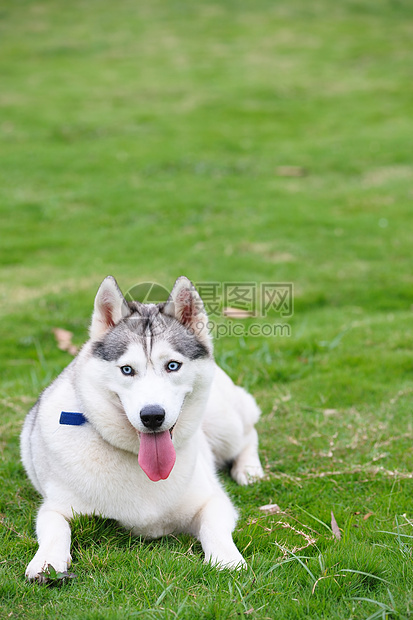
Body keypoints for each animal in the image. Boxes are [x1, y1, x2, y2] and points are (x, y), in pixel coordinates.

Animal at [20, 274, 262, 580]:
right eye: (127, 370)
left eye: (173, 366)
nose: (152, 416)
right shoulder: (56, 508)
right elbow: (56, 528)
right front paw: (47, 560)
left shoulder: (213, 501)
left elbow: (213, 527)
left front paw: (227, 558)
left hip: (223, 422)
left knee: (249, 432)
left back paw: (249, 469)